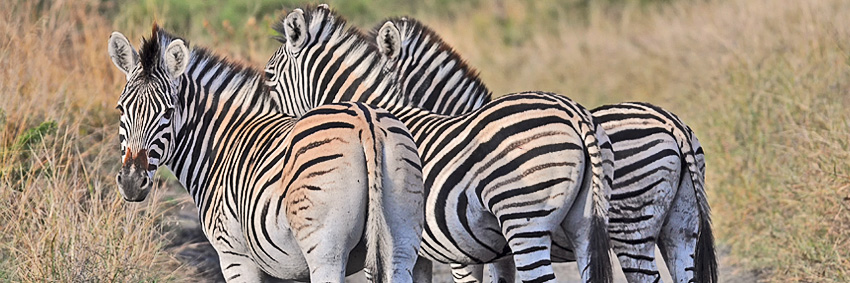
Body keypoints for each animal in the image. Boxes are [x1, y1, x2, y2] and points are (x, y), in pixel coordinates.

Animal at [105, 25, 424, 283]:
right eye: (121, 109)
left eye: (168, 113)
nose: (131, 182)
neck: (221, 147)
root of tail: (364, 121)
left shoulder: (235, 255)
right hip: (402, 242)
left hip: (327, 250)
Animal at [262, 6, 612, 283]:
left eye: (268, 78)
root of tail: (575, 114)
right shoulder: (427, 252)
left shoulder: (450, 250)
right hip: (584, 227)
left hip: (525, 221)